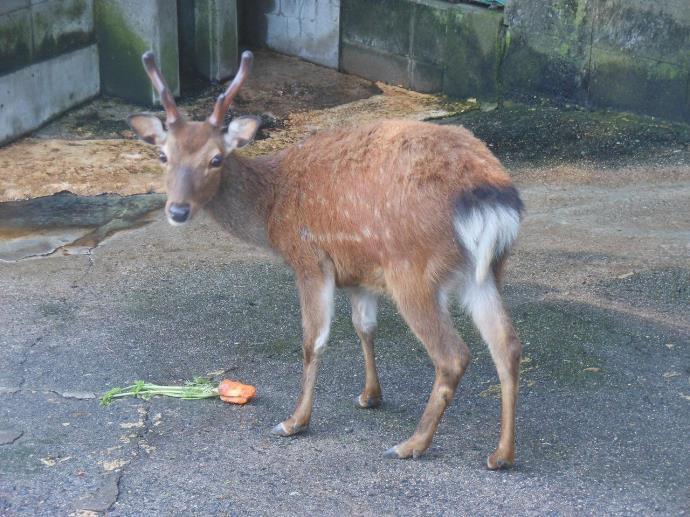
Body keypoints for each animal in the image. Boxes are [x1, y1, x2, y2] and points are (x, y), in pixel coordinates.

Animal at [129, 51, 524, 468]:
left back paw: (411, 444)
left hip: (413, 270)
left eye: (216, 159)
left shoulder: (310, 259)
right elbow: (364, 327)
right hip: (484, 273)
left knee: (453, 356)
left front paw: (294, 421)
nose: (178, 210)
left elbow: (313, 341)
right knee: (508, 346)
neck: (272, 210)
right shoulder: (359, 274)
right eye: (163, 155)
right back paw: (501, 454)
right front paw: (370, 395)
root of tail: (491, 197)